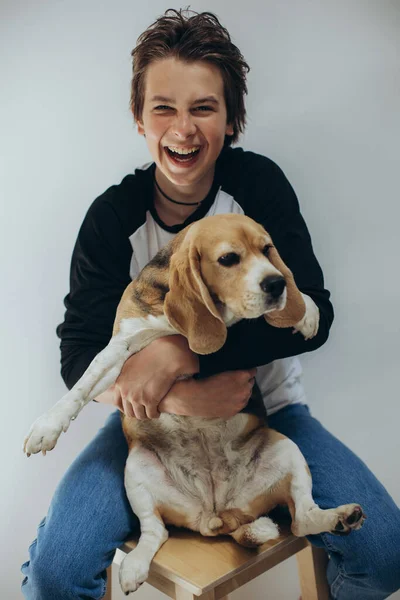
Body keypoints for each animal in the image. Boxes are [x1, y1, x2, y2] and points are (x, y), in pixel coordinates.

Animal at [22, 216, 366, 596]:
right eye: (229, 259)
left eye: (267, 249)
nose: (276, 285)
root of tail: (215, 511)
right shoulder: (120, 351)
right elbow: (82, 385)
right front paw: (47, 427)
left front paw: (306, 310)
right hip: (136, 468)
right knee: (155, 532)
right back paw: (135, 565)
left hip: (287, 448)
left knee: (302, 520)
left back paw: (340, 517)